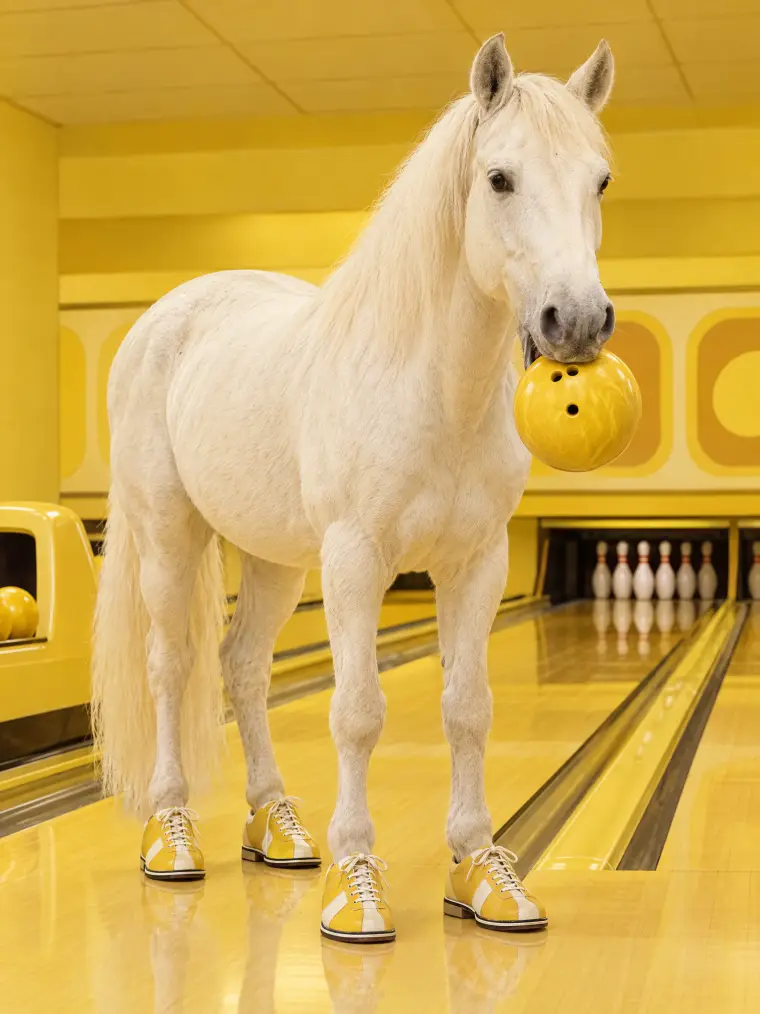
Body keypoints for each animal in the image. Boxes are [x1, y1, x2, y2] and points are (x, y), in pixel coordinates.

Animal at [93, 33, 615, 940]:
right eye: (499, 178)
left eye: (601, 180)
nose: (577, 321)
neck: (432, 384)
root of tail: (171, 309)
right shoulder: (355, 558)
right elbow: (358, 710)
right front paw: (356, 880)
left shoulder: (478, 562)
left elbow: (467, 705)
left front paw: (482, 871)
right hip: (167, 531)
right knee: (171, 666)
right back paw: (173, 833)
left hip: (272, 557)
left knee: (242, 666)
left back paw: (277, 827)